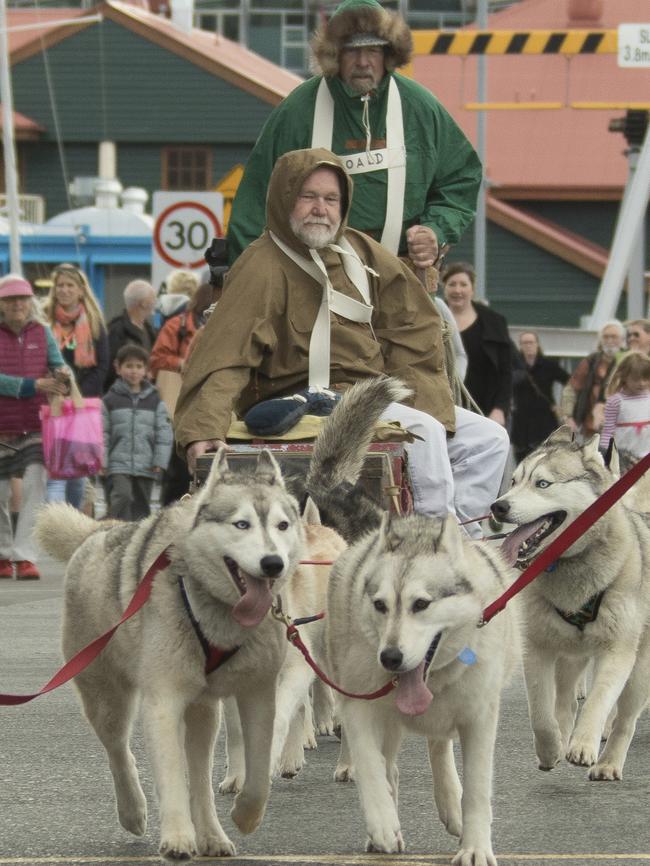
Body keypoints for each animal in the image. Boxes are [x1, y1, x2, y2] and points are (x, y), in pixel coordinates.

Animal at [34, 448, 308, 860]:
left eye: (282, 525)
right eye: (241, 524)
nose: (273, 563)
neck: (219, 613)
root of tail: (99, 530)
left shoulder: (258, 692)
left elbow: (259, 774)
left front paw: (244, 816)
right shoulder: (163, 698)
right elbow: (170, 775)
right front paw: (178, 837)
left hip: (204, 710)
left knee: (200, 774)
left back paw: (211, 835)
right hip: (105, 695)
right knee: (120, 750)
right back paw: (133, 810)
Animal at [304, 376, 516, 864]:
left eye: (422, 604)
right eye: (381, 605)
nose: (391, 658)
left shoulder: (479, 720)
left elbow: (478, 790)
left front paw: (474, 845)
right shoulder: (362, 708)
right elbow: (371, 771)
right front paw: (383, 825)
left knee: (439, 747)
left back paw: (449, 804)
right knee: (392, 763)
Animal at [492, 428, 648, 780]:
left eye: (543, 483)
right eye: (514, 481)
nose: (498, 507)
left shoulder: (617, 651)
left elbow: (599, 701)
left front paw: (584, 744)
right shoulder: (537, 648)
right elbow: (541, 712)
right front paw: (551, 749)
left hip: (640, 668)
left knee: (625, 719)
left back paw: (608, 762)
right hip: (570, 652)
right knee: (564, 700)